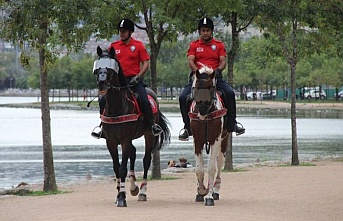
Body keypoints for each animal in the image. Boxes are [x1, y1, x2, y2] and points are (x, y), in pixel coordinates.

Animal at [92, 46, 171, 207]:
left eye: (110, 68)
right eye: (97, 67)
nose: (101, 83)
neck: (116, 106)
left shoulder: (125, 139)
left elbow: (122, 168)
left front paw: (122, 197)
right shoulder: (111, 141)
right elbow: (116, 167)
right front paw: (119, 195)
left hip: (148, 135)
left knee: (146, 160)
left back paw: (142, 192)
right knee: (133, 153)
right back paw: (133, 186)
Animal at [189, 63, 230, 206]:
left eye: (211, 88)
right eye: (195, 88)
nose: (201, 112)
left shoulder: (215, 139)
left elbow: (211, 167)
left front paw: (209, 196)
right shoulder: (197, 140)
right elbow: (199, 168)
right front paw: (201, 191)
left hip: (223, 141)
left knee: (219, 164)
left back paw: (215, 190)